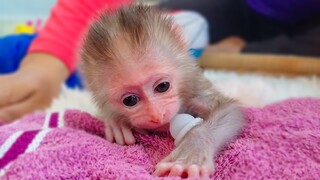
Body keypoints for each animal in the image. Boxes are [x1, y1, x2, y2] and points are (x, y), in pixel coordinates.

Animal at [80, 3, 245, 178]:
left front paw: (193, 150)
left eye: (162, 86)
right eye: (130, 100)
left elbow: (229, 110)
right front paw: (116, 122)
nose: (157, 115)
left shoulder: (195, 87)